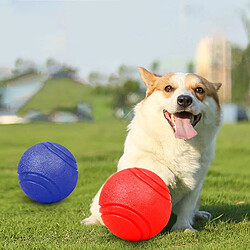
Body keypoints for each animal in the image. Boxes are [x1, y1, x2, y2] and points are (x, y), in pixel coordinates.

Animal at [81, 67, 221, 232]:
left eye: (199, 90)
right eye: (168, 88)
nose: (184, 100)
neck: (177, 141)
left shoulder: (196, 183)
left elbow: (187, 208)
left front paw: (183, 228)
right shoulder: (129, 159)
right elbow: (149, 160)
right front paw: (168, 175)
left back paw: (199, 214)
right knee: (97, 211)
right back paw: (91, 220)